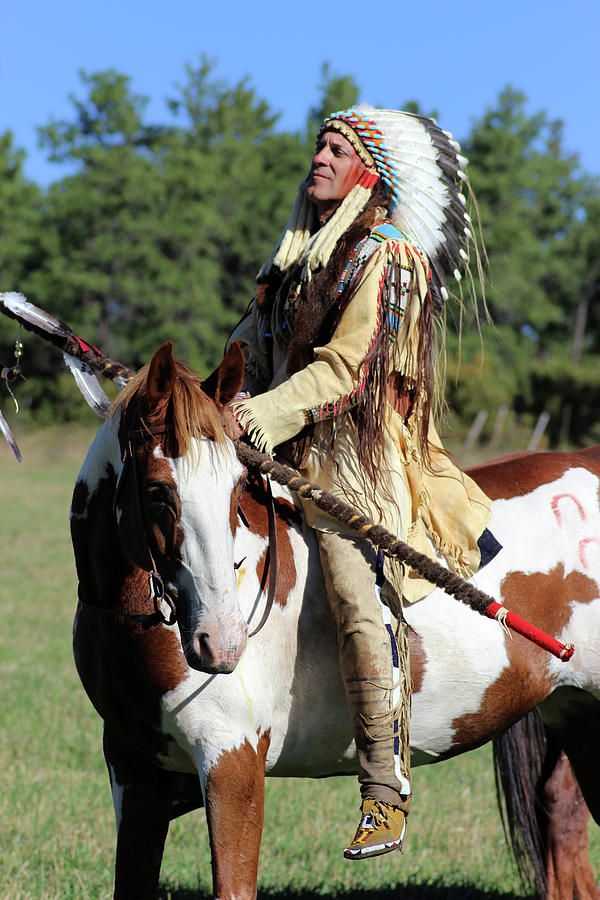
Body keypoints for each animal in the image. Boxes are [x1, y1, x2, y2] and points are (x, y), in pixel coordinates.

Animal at [71, 342, 600, 900]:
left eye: (236, 487)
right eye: (157, 491)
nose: (222, 642)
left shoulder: (231, 764)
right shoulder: (135, 775)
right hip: (577, 716)